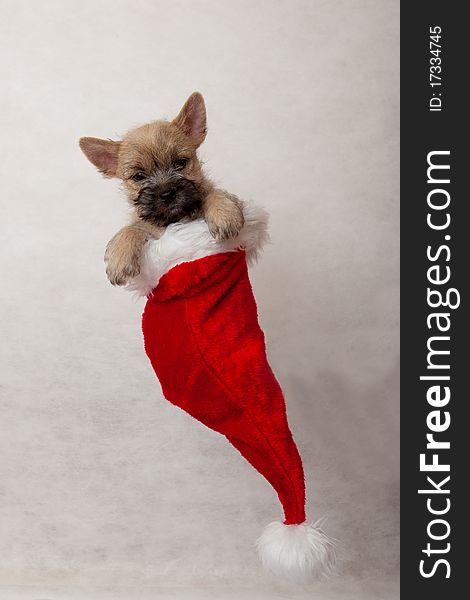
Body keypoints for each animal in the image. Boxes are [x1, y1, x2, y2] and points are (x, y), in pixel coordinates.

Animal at [79, 93, 244, 286]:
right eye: (139, 176)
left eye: (180, 163)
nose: (167, 194)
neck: (173, 219)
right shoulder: (149, 228)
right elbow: (132, 228)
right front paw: (119, 258)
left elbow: (213, 194)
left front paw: (225, 215)